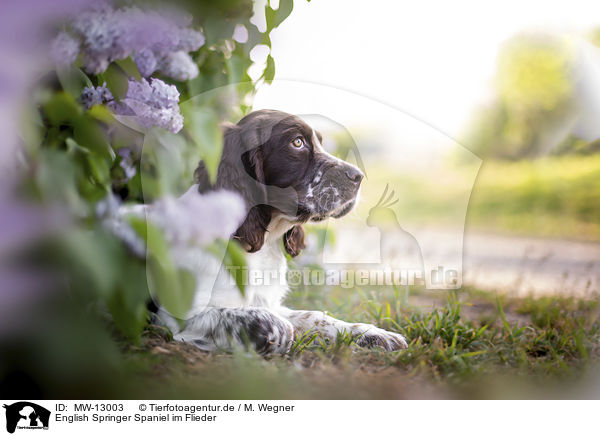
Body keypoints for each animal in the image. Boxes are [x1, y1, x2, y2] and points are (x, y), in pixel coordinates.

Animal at [150, 109, 408, 354]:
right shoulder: (180, 317)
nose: (358, 176)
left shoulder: (272, 301)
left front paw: (374, 334)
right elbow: (278, 324)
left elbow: (314, 315)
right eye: (297, 142)